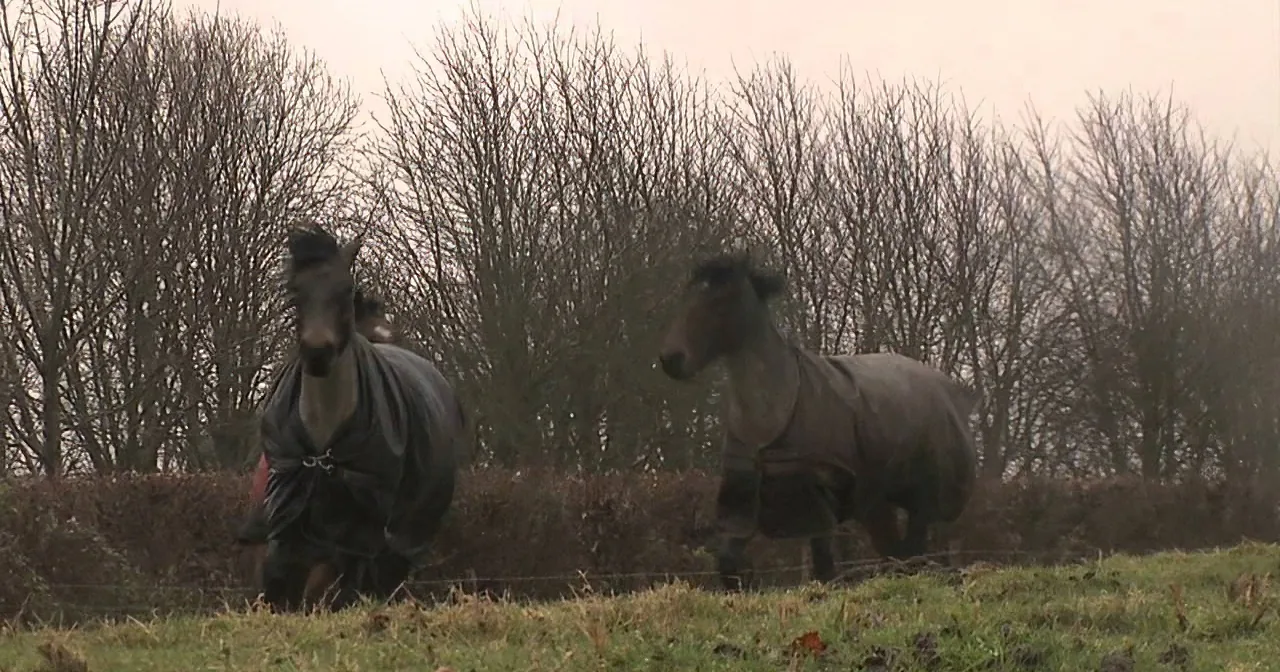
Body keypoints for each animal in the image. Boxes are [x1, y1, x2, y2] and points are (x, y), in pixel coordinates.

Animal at [656, 253, 981, 591]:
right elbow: (729, 566)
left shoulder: (816, 504)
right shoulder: (742, 504)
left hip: (921, 504)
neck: (773, 413)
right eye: (686, 296)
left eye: (720, 299)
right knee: (898, 555)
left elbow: (826, 569)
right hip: (876, 505)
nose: (671, 359)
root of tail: (954, 395)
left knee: (912, 554)